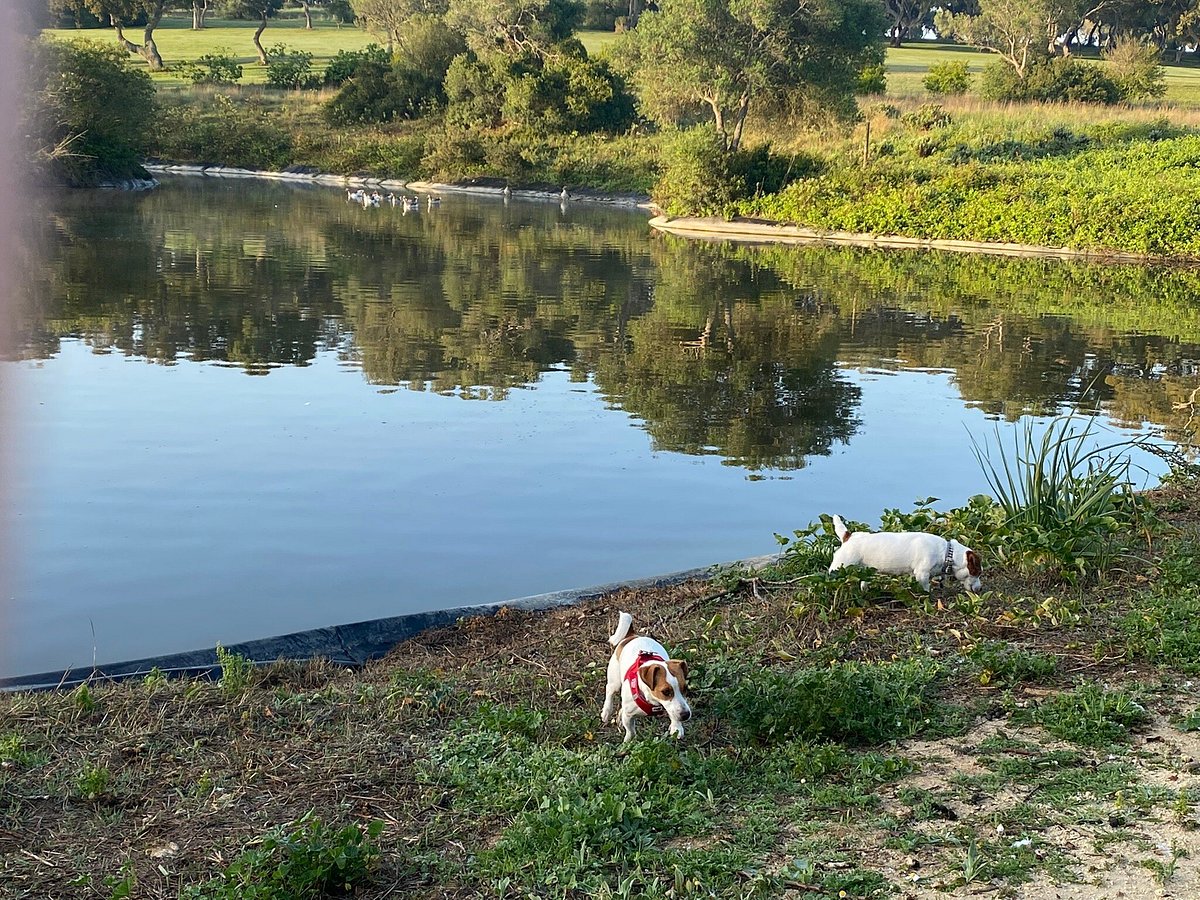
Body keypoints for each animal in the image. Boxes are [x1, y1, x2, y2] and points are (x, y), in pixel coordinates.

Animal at [600, 614, 696, 748]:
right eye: (666, 692)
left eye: (685, 688)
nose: (686, 715)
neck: (653, 701)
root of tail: (632, 636)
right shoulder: (629, 716)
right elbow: (630, 731)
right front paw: (628, 742)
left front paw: (677, 727)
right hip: (615, 680)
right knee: (609, 691)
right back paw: (606, 711)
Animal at [830, 513, 979, 592]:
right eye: (977, 573)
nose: (980, 589)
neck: (946, 553)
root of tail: (848, 537)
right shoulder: (922, 574)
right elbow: (926, 588)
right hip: (839, 568)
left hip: (865, 571)